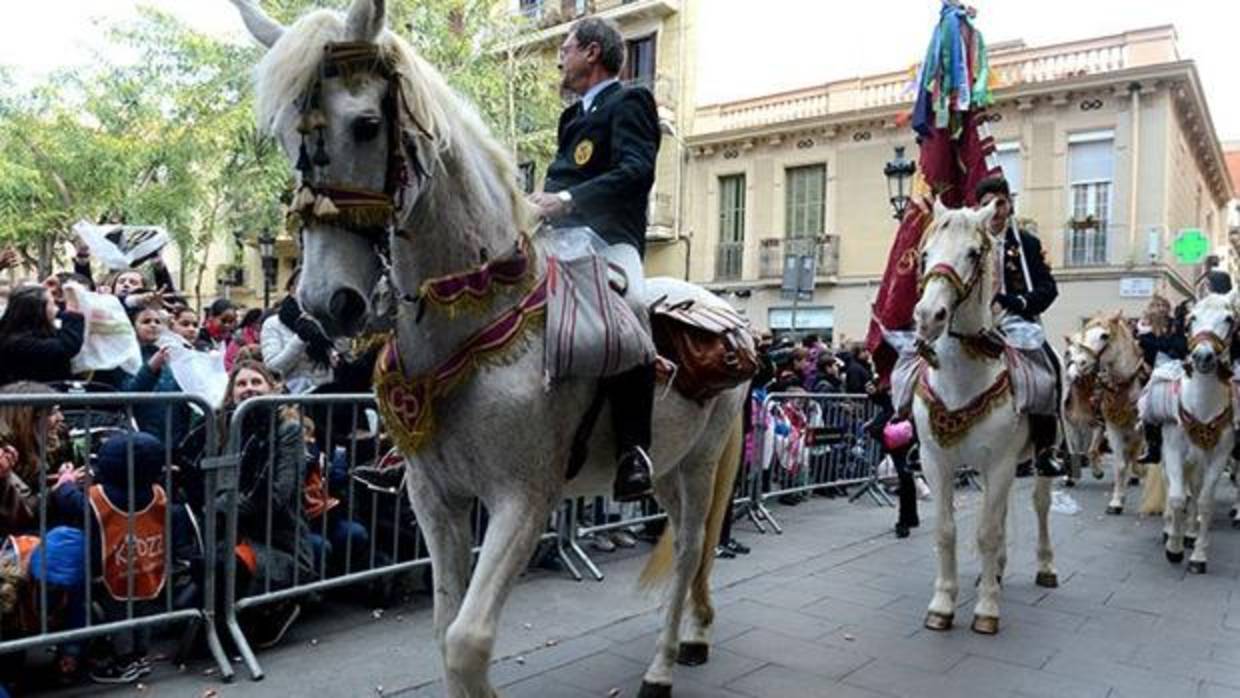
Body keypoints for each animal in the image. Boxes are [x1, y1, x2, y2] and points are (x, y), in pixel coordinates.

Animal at [233, 2, 744, 694]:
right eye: (288, 137)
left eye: (366, 125)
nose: (325, 302)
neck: (476, 315)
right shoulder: (435, 497)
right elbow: (444, 626)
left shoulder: (522, 501)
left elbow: (466, 641)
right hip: (666, 463)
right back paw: (694, 636)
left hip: (700, 461)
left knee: (691, 547)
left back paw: (663, 664)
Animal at [912, 199, 1056, 634]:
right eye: (925, 254)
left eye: (974, 253)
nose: (928, 316)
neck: (963, 376)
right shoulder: (936, 461)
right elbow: (946, 531)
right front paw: (942, 604)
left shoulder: (1001, 462)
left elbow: (988, 533)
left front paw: (987, 611)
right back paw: (995, 573)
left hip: (1039, 459)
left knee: (1040, 505)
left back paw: (1045, 568)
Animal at [1076, 313, 1140, 515]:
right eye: (1086, 332)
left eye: (1104, 335)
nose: (1081, 363)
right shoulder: (1113, 427)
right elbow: (1120, 464)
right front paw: (1116, 501)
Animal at [1155, 293, 1235, 572]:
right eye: (1191, 319)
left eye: (1229, 318)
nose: (1203, 356)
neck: (1202, 407)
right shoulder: (1173, 450)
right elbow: (1178, 498)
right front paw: (1174, 549)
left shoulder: (1219, 455)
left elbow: (1204, 501)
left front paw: (1198, 556)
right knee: (1173, 489)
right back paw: (1170, 529)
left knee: (1196, 490)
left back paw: (1189, 533)